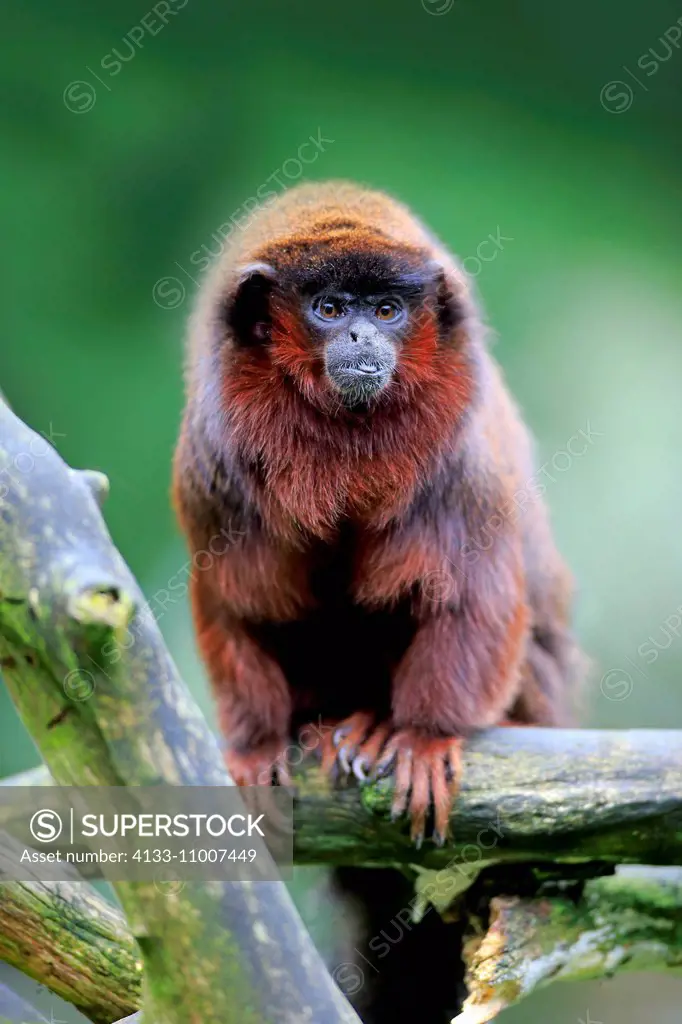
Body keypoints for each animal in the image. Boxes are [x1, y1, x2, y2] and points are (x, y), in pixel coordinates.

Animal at [174, 178, 577, 847]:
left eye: (387, 311)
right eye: (331, 310)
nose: (363, 337)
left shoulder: (460, 463)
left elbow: (472, 592)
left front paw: (423, 734)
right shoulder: (214, 469)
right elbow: (238, 602)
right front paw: (257, 744)